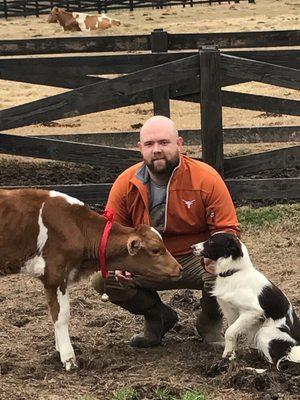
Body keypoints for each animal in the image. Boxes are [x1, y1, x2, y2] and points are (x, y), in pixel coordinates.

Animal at [0, 189, 180, 370]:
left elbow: (55, 315)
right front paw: (68, 358)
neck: (75, 225)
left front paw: (59, 350)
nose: (179, 268)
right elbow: (61, 316)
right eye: (155, 250)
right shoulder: (55, 275)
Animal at [192, 231, 300, 372]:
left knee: (275, 366)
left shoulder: (252, 312)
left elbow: (229, 332)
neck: (233, 273)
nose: (192, 247)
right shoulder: (231, 313)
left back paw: (252, 370)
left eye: (211, 242)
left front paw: (227, 358)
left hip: (264, 332)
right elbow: (233, 335)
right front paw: (229, 357)